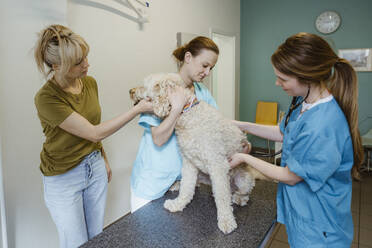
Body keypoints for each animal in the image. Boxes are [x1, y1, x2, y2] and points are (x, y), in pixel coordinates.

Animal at [130, 72, 268, 233]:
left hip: (243, 179)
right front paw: (178, 204)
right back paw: (177, 185)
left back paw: (239, 198)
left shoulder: (217, 166)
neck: (188, 115)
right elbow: (186, 188)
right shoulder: (189, 163)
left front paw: (226, 221)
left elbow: (222, 197)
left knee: (240, 193)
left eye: (144, 85)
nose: (130, 91)